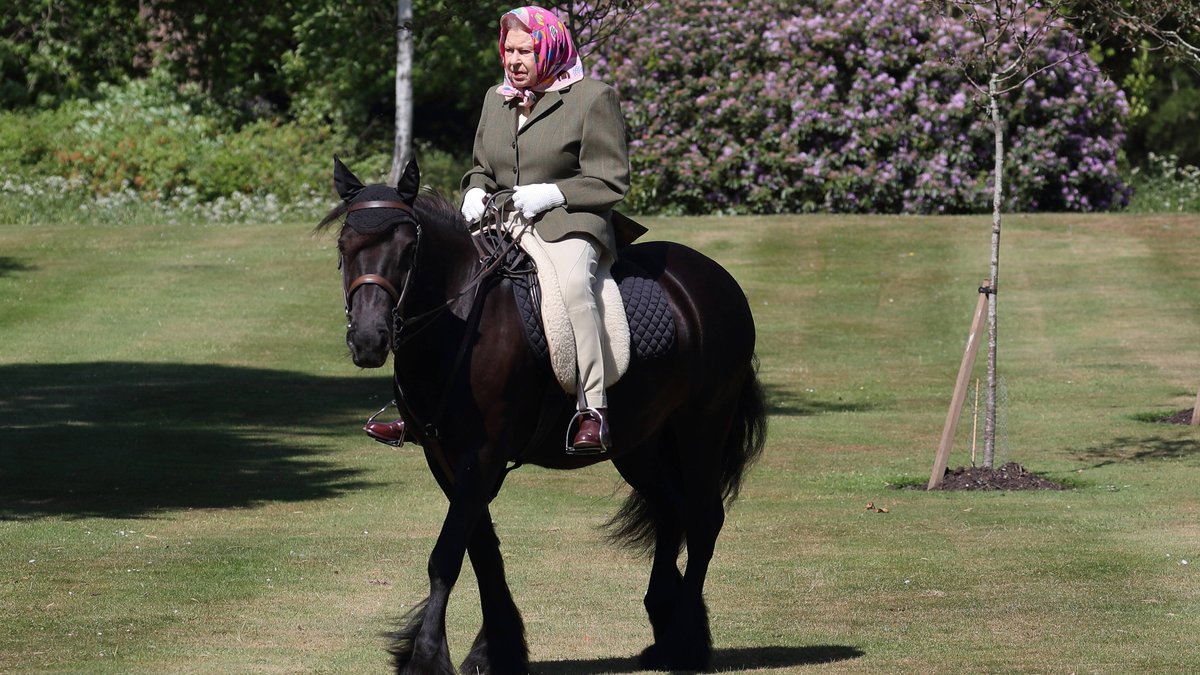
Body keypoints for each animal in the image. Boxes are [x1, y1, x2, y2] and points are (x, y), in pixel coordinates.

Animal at [316, 154, 768, 667]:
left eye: (409, 248)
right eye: (345, 246)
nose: (369, 340)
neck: (461, 321)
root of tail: (714, 278)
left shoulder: (482, 455)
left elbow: (447, 555)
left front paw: (427, 656)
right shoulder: (445, 457)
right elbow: (481, 550)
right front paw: (495, 649)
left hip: (702, 427)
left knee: (703, 518)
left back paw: (686, 642)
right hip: (639, 443)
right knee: (670, 510)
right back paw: (664, 628)